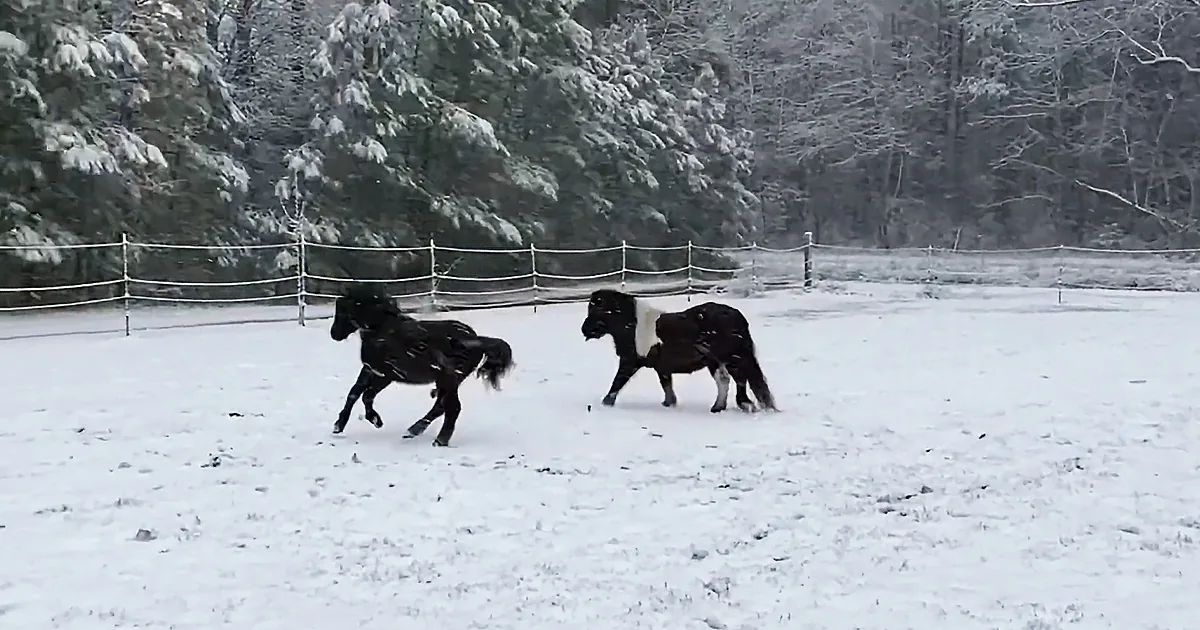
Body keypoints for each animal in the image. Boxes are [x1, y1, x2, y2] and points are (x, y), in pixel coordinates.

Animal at [329, 283, 515, 446]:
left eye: (343, 308)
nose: (334, 334)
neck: (383, 330)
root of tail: (477, 340)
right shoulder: (370, 369)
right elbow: (354, 393)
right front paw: (339, 426)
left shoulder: (387, 374)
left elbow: (367, 395)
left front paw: (376, 420)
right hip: (448, 381)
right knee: (440, 407)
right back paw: (413, 431)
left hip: (448, 379)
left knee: (452, 408)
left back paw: (438, 441)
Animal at [580, 289, 777, 413]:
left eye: (597, 309)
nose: (584, 330)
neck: (633, 326)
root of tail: (737, 316)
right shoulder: (662, 367)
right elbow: (666, 384)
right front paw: (669, 403)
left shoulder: (630, 362)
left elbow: (618, 382)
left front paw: (606, 403)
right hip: (716, 361)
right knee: (725, 381)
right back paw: (718, 407)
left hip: (730, 358)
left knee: (739, 379)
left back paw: (744, 405)